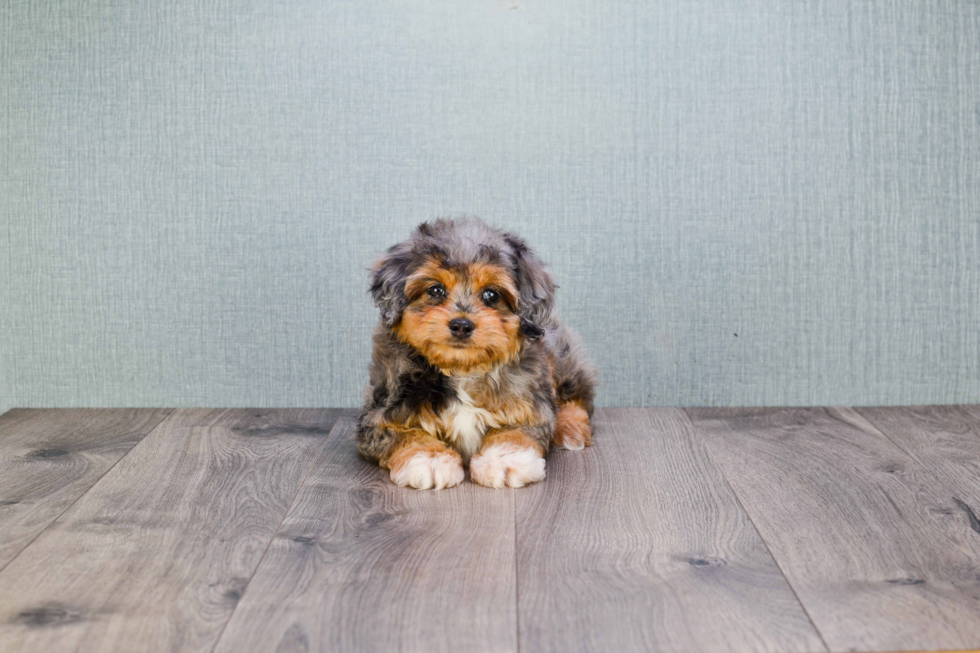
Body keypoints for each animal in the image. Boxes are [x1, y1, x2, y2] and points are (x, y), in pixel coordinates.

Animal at [354, 216, 592, 486]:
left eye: (491, 294)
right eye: (435, 290)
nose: (461, 325)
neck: (462, 369)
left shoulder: (529, 399)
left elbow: (518, 428)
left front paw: (504, 458)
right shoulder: (380, 412)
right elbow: (402, 433)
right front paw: (429, 459)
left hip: (563, 358)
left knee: (577, 397)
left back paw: (571, 429)